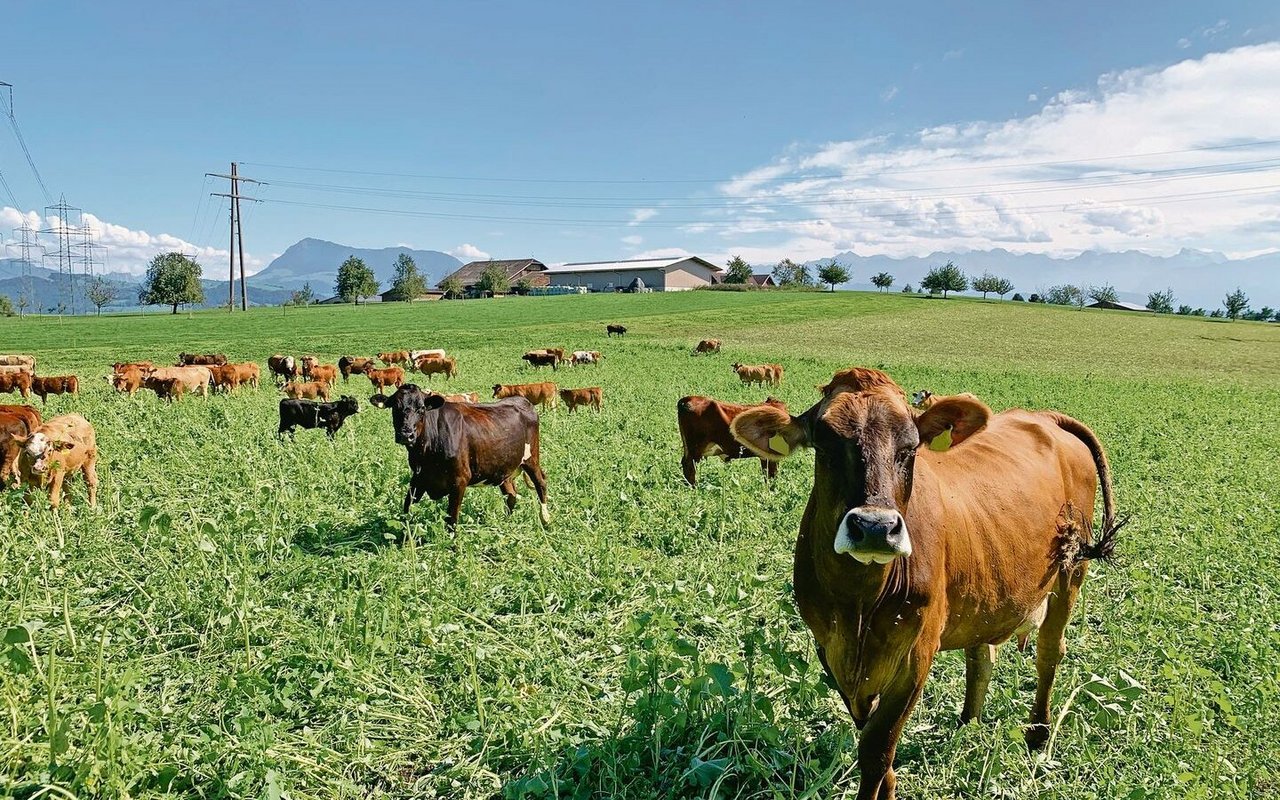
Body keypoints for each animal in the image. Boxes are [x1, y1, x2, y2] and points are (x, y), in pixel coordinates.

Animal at [368, 384, 552, 527]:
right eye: (395, 407)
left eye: (421, 409)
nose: (406, 434)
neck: (425, 452)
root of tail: (521, 400)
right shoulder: (419, 477)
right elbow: (406, 508)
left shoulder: (459, 480)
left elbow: (452, 518)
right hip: (502, 467)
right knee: (511, 494)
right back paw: (505, 522)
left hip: (531, 458)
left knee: (541, 483)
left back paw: (545, 519)